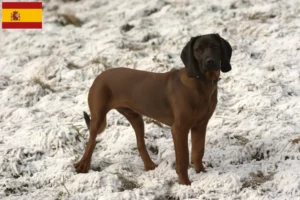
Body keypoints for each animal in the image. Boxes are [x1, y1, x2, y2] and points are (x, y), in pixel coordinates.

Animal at [74, 33, 232, 185]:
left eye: (215, 46)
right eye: (197, 49)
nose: (210, 62)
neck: (201, 82)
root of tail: (99, 75)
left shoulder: (200, 125)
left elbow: (198, 152)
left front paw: (201, 173)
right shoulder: (179, 129)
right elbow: (183, 159)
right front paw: (185, 183)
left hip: (136, 118)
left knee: (140, 144)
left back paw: (150, 166)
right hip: (98, 116)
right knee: (91, 141)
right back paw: (82, 165)